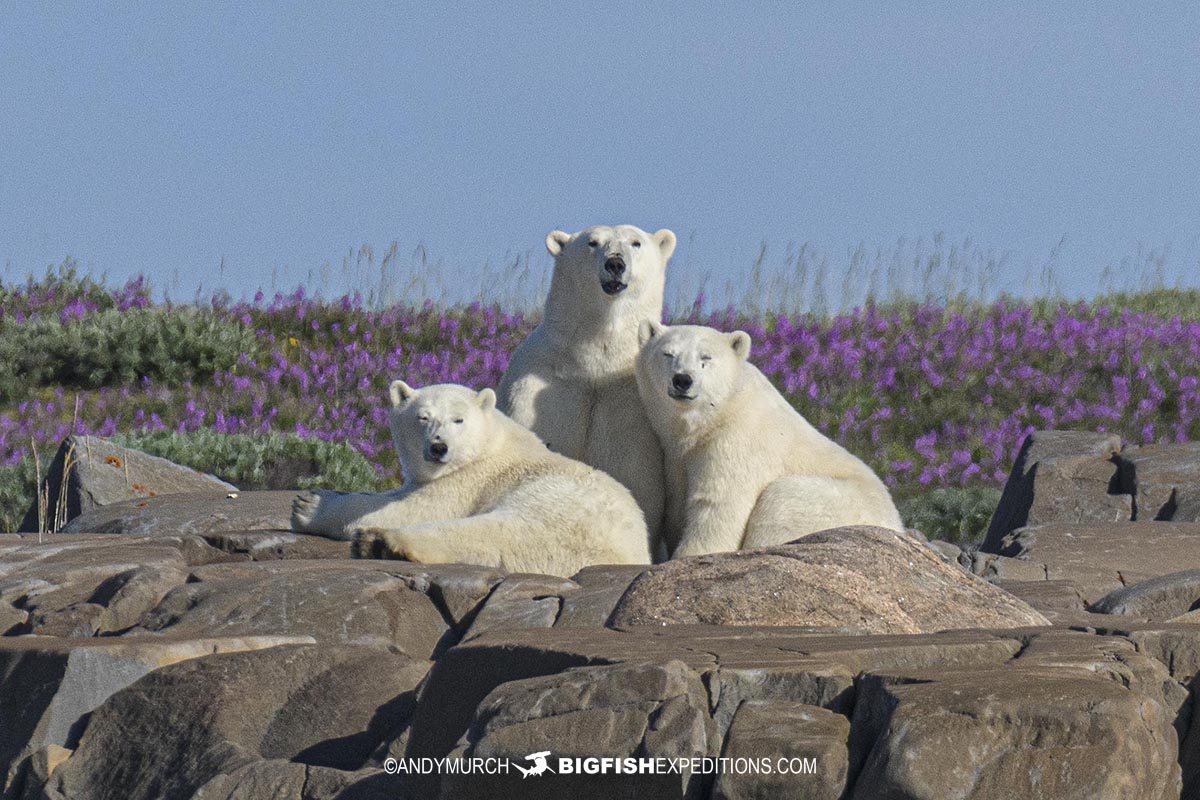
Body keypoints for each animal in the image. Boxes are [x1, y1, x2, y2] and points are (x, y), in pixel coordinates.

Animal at [290, 381, 652, 577]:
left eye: (458, 420)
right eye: (422, 417)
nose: (439, 447)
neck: (489, 442)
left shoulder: (469, 479)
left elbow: (416, 508)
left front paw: (308, 506)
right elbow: (398, 494)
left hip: (556, 510)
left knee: (492, 533)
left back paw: (380, 542)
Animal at [497, 224, 676, 556]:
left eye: (636, 242)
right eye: (592, 243)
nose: (615, 263)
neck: (592, 366)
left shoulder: (630, 409)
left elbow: (637, 482)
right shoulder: (540, 390)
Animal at [635, 322, 904, 557]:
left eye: (706, 358)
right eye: (668, 354)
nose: (682, 380)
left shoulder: (737, 438)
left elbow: (717, 503)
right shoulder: (675, 454)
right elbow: (678, 499)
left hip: (828, 502)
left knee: (781, 500)